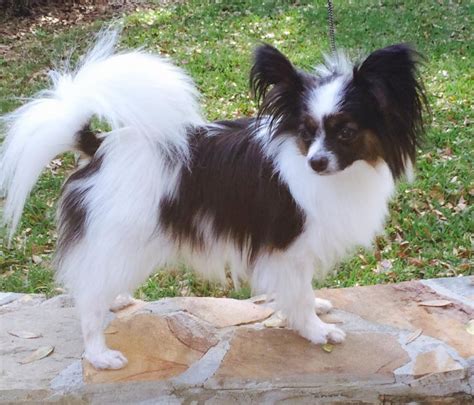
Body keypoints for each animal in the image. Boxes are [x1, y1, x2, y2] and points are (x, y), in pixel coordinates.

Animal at [0, 30, 428, 368]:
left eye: (346, 133)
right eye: (307, 131)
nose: (317, 163)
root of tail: (98, 147)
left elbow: (302, 290)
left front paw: (316, 308)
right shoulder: (286, 247)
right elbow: (298, 294)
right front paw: (317, 330)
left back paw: (117, 300)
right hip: (120, 238)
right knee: (88, 298)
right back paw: (99, 355)